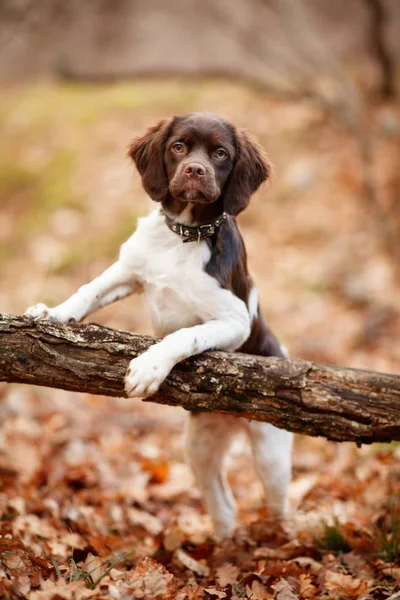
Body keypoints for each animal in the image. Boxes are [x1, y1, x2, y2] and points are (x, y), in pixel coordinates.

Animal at [25, 111, 294, 540]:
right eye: (179, 146)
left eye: (220, 153)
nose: (195, 170)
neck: (184, 237)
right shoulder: (129, 270)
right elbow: (88, 290)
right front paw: (52, 313)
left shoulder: (234, 320)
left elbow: (187, 334)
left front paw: (149, 368)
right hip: (200, 445)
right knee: (224, 505)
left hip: (270, 452)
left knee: (282, 508)